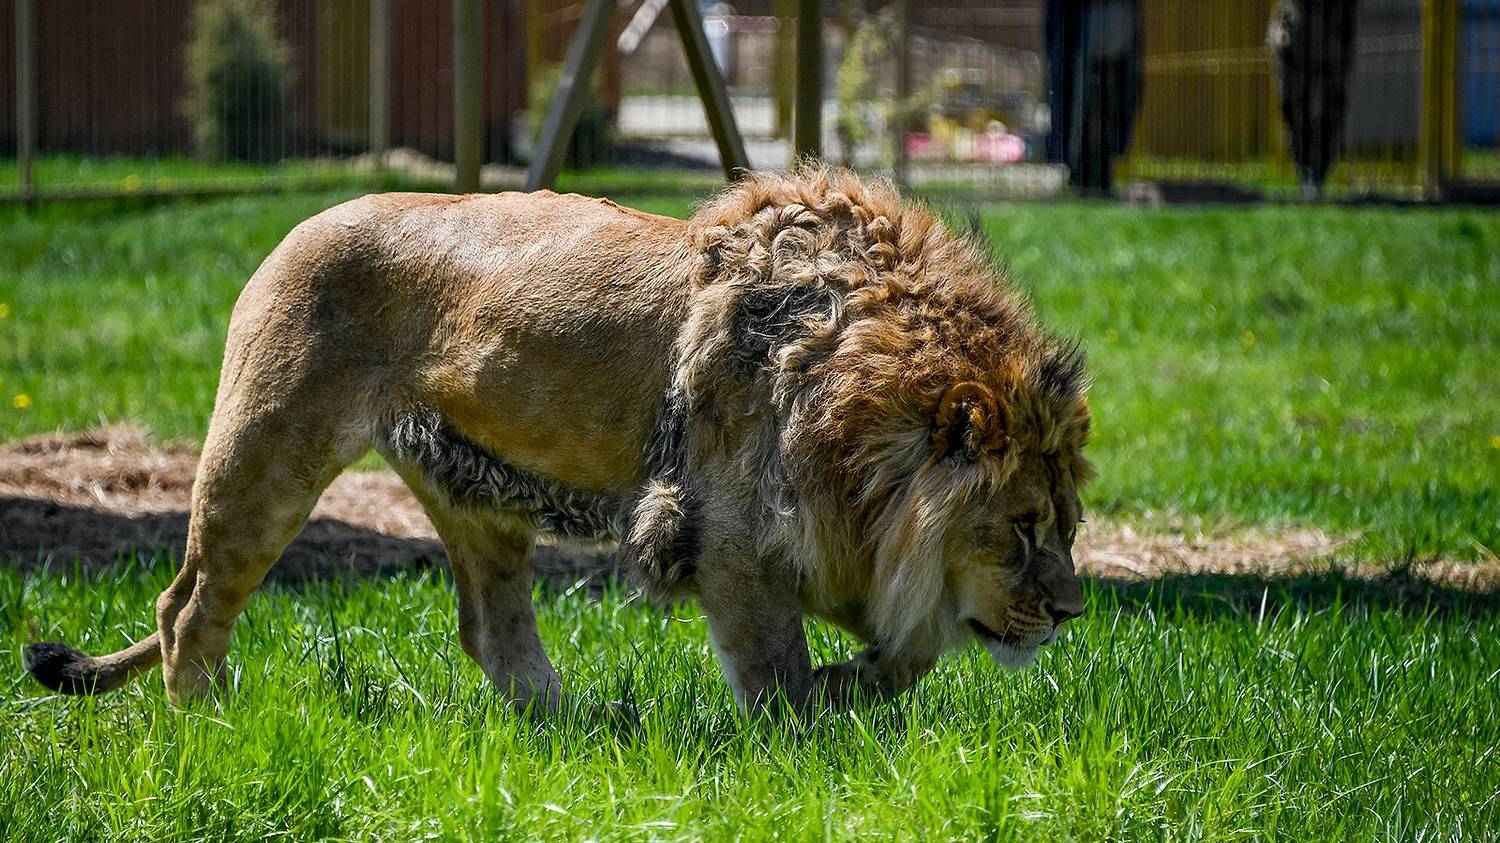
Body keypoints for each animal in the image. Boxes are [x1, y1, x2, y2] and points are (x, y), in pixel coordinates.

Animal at [23, 165, 1092, 714]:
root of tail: (296, 228)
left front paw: (853, 689)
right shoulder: (732, 536)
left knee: (492, 630)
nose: (1073, 614)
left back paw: (566, 729)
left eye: (1072, 525)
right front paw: (805, 737)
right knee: (187, 604)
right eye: (1021, 525)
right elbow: (777, 668)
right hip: (265, 454)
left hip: (477, 497)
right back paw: (205, 722)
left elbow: (910, 655)